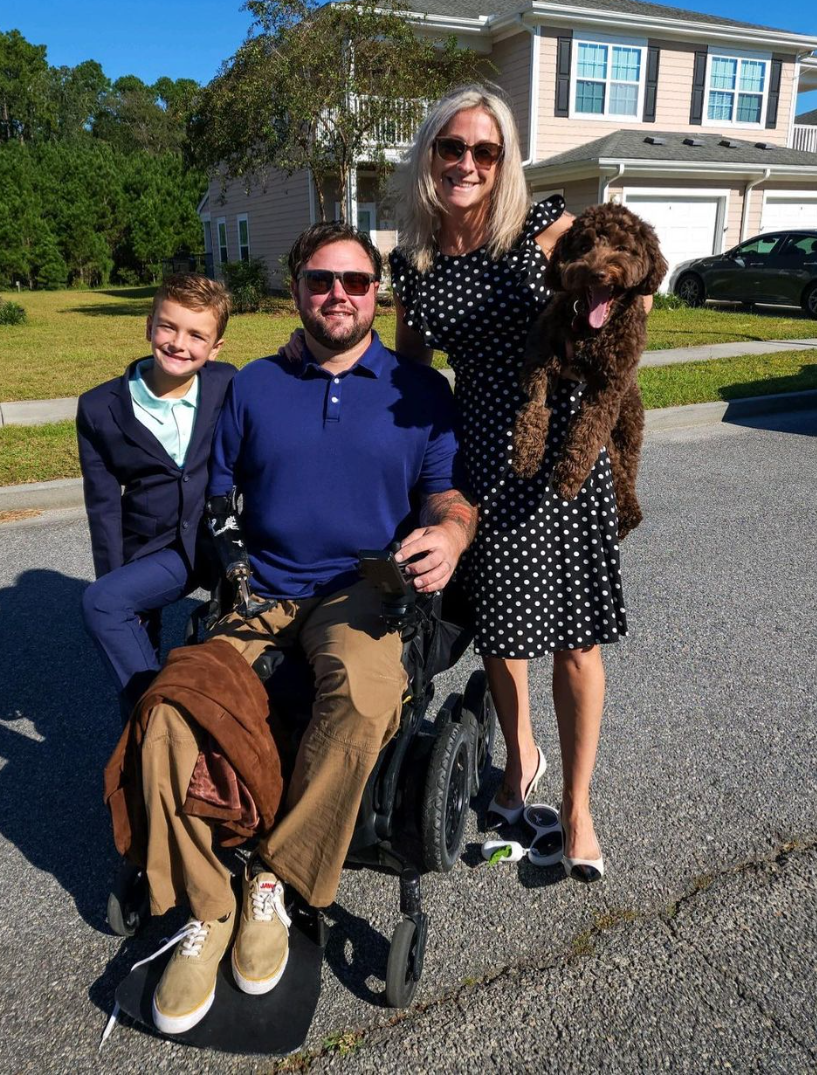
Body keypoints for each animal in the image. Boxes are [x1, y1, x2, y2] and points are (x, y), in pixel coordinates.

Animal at [513, 203, 666, 537]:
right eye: (584, 246)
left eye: (623, 247)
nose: (598, 273)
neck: (591, 330)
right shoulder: (540, 362)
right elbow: (534, 409)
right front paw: (526, 454)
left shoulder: (608, 388)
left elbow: (586, 430)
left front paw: (568, 478)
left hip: (625, 429)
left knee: (622, 476)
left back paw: (626, 518)